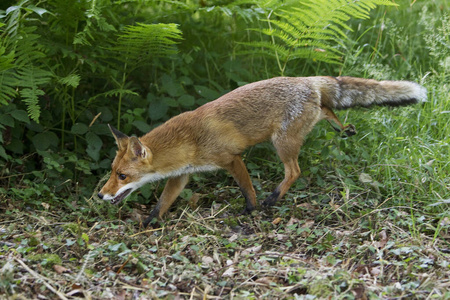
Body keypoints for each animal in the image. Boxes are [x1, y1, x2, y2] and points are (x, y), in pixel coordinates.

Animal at [97, 76, 426, 226]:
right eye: (112, 172)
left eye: (122, 176)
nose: (100, 195)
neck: (190, 139)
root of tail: (307, 79)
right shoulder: (182, 176)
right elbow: (163, 202)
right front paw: (149, 222)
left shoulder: (232, 159)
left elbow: (247, 188)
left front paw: (251, 209)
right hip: (302, 125)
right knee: (327, 108)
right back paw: (342, 128)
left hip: (282, 143)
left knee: (294, 171)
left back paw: (274, 198)